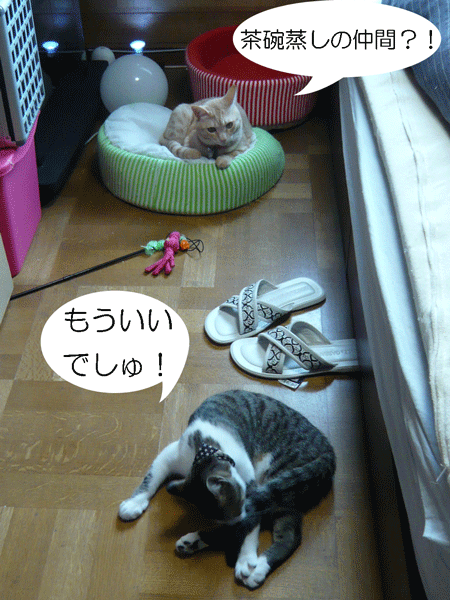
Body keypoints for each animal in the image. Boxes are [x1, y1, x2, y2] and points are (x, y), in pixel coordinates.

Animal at [118, 390, 335, 589]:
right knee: (290, 534)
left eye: (239, 510)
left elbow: (252, 524)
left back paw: (251, 565)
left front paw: (245, 557)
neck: (205, 451)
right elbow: (151, 477)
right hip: (288, 495)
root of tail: (329, 453)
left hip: (281, 478)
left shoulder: (252, 488)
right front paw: (134, 503)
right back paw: (197, 543)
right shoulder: (171, 454)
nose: (236, 523)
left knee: (289, 537)